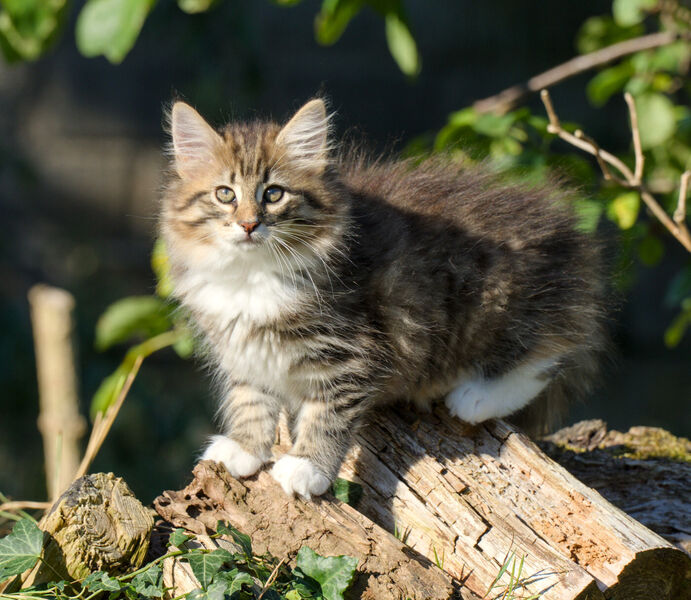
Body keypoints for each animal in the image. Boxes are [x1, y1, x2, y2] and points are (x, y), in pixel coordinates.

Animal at [162, 101, 604, 500]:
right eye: (225, 194)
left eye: (273, 194)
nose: (249, 224)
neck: (251, 275)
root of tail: (569, 236)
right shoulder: (242, 349)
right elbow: (250, 399)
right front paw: (245, 448)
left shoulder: (351, 351)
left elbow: (328, 415)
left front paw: (308, 467)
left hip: (500, 305)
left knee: (550, 352)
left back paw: (476, 397)